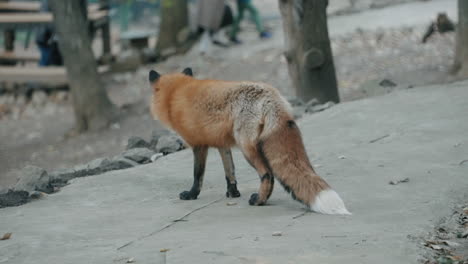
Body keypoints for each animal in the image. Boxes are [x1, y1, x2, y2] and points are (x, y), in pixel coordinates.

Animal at [148, 67, 350, 214]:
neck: (175, 94)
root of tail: (270, 97)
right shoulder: (222, 145)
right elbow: (230, 172)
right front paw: (233, 193)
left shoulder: (198, 145)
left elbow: (197, 175)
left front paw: (191, 194)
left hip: (246, 147)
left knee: (267, 174)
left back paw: (259, 200)